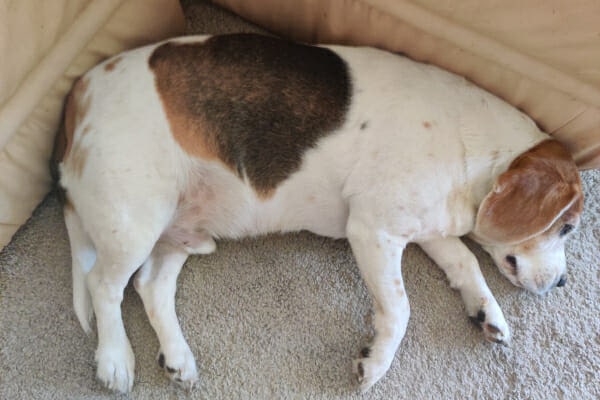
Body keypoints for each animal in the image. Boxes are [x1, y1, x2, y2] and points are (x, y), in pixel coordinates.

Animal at [54, 32, 584, 392]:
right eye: (567, 226)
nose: (562, 285)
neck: (470, 145)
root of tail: (80, 91)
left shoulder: (426, 229)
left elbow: (466, 262)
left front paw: (486, 311)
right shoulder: (373, 231)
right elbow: (400, 309)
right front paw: (375, 364)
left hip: (178, 227)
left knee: (149, 286)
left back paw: (178, 358)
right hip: (136, 221)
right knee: (104, 285)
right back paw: (115, 359)